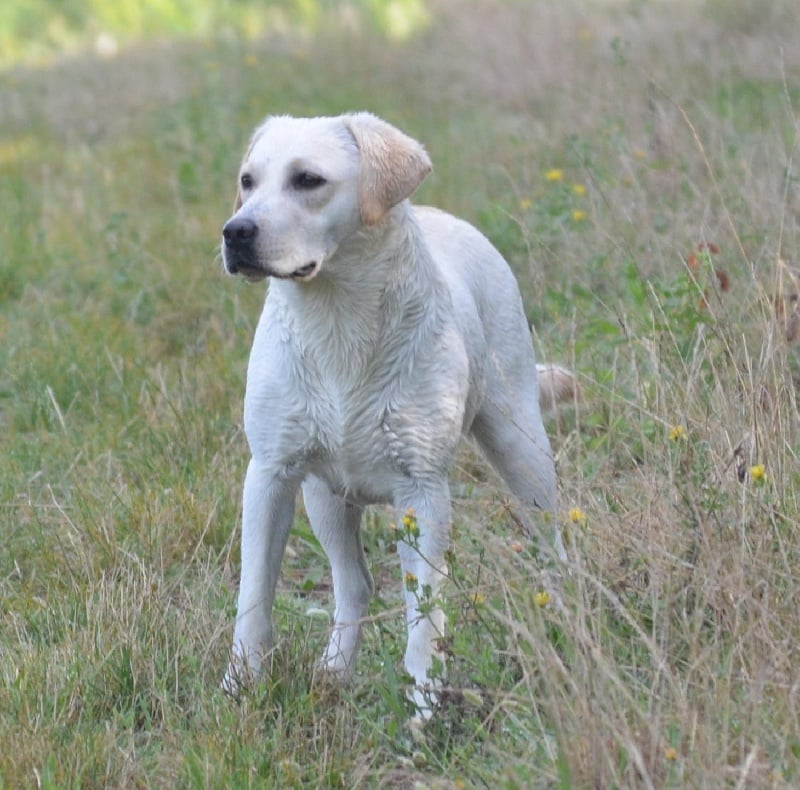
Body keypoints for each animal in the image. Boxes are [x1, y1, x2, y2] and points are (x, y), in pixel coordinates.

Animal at [217, 113, 576, 716]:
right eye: (248, 181)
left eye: (308, 180)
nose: (235, 231)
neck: (335, 317)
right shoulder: (269, 474)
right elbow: (254, 594)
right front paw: (239, 684)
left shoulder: (423, 490)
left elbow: (423, 614)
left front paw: (425, 705)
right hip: (323, 497)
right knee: (355, 582)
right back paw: (335, 671)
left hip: (521, 446)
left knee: (555, 546)